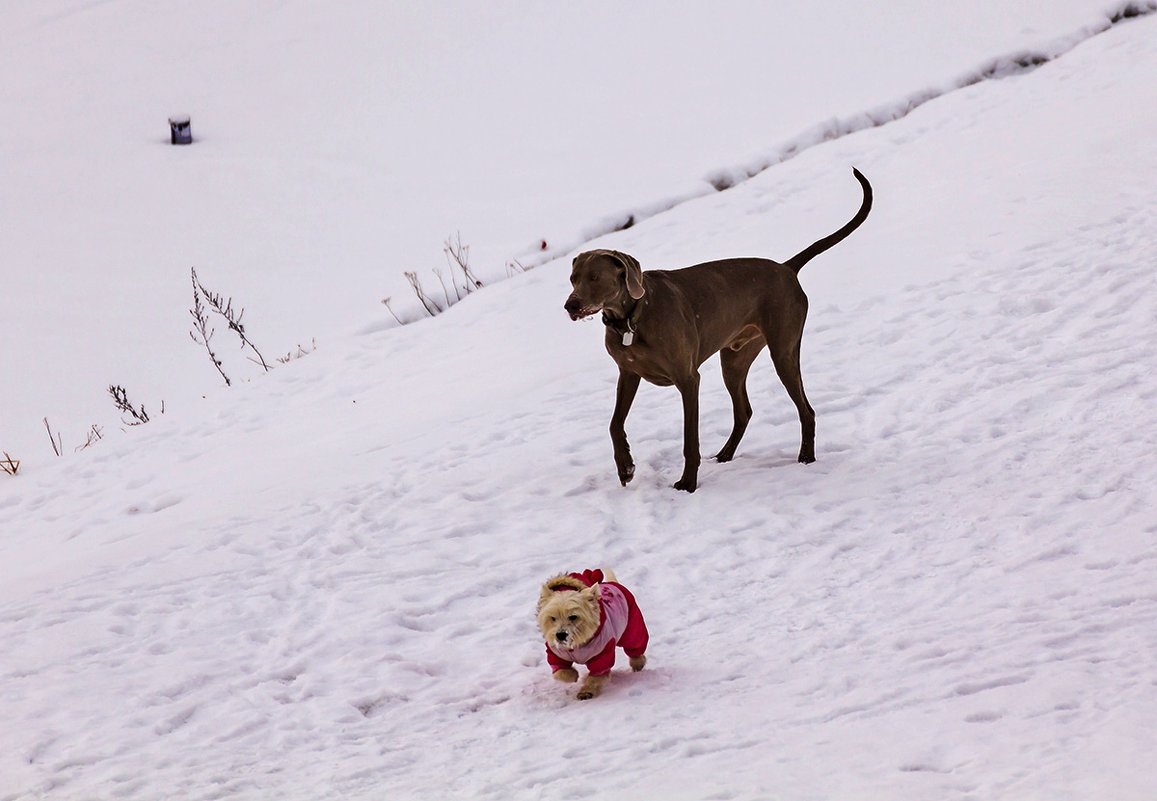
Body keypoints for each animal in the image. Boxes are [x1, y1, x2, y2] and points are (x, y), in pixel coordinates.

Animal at [534, 567, 652, 699]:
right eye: (553, 618)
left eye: (573, 617)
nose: (560, 635)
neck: (577, 646)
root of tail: (613, 583)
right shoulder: (556, 654)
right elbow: (561, 672)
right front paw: (573, 675)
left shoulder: (603, 652)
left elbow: (596, 675)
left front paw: (587, 690)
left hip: (632, 626)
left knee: (635, 644)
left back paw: (637, 663)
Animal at [564, 167, 870, 488]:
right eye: (573, 278)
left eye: (595, 277)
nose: (570, 306)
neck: (632, 318)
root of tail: (787, 268)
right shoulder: (628, 373)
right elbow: (614, 424)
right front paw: (625, 467)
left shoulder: (688, 379)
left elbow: (690, 440)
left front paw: (687, 484)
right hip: (734, 359)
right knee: (744, 411)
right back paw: (725, 455)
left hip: (783, 351)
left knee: (806, 410)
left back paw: (806, 458)